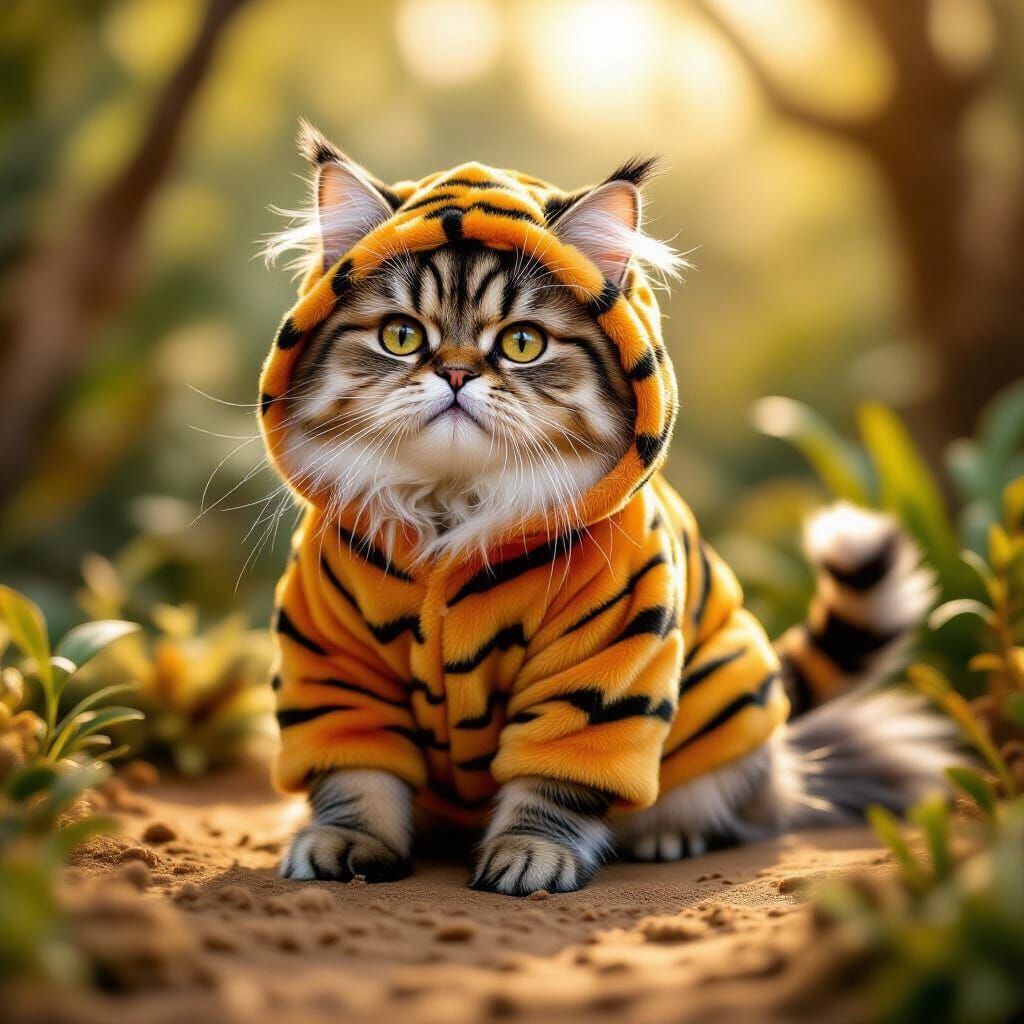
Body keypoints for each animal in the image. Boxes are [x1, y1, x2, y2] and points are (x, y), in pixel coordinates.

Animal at [259, 121, 954, 895]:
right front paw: (343, 844)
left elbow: (552, 786)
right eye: (402, 336)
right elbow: (356, 776)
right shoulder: (332, 662)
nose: (458, 373)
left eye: (522, 343)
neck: (452, 515)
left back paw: (668, 838)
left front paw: (529, 857)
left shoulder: (603, 667)